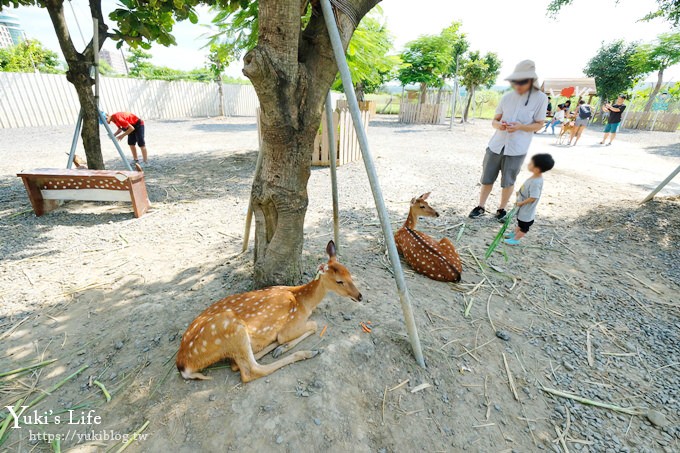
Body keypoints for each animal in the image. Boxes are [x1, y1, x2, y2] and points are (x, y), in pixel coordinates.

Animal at [178, 240, 364, 382]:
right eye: (339, 281)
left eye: (350, 274)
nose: (360, 296)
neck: (304, 303)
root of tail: (184, 364)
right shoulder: (291, 325)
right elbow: (313, 326)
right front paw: (285, 345)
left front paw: (281, 347)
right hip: (232, 329)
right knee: (250, 371)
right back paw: (307, 352)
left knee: (236, 364)